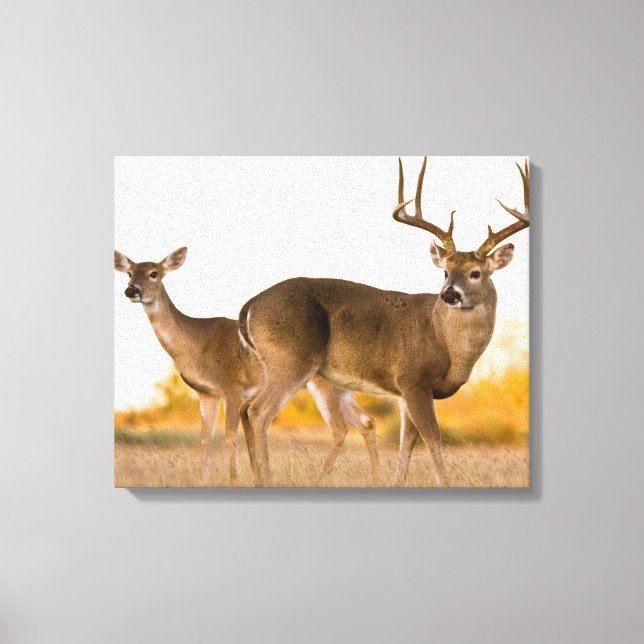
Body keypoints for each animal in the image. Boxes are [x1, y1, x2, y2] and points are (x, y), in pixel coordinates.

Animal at [114, 247, 382, 485]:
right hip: (341, 389)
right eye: (129, 273)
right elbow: (205, 439)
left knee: (340, 429)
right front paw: (202, 480)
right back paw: (375, 478)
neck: (193, 343)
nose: (132, 290)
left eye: (154, 273)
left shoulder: (231, 387)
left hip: (321, 386)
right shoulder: (206, 393)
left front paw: (234, 479)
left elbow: (229, 434)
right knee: (366, 422)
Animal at [239, 157, 529, 486]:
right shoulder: (413, 379)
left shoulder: (404, 393)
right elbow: (434, 441)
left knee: (246, 409)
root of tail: (250, 306)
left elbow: (407, 446)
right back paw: (266, 478)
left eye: (475, 273)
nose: (449, 294)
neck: (446, 342)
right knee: (259, 411)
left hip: (275, 366)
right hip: (292, 360)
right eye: (445, 271)